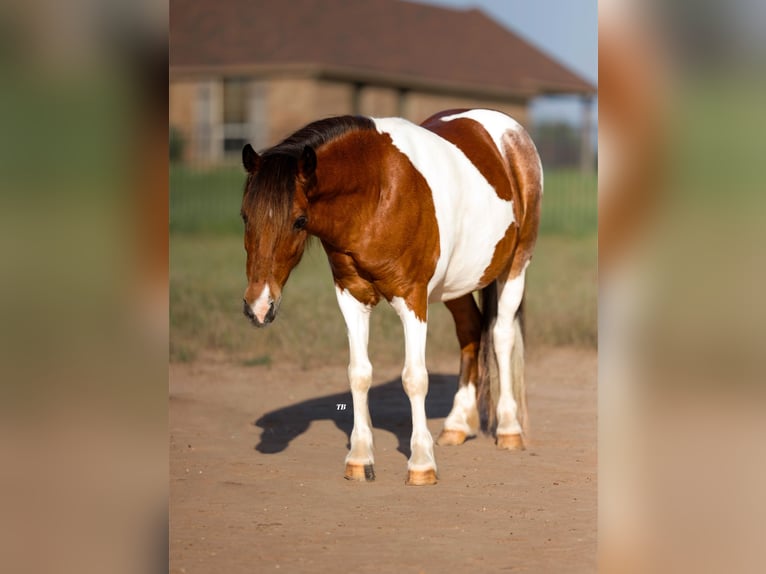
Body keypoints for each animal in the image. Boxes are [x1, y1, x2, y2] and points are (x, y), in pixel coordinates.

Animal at [243, 109, 544, 486]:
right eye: (245, 216)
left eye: (299, 220)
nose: (258, 306)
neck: (377, 191)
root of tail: (511, 133)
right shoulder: (351, 296)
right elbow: (358, 373)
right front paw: (360, 459)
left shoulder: (411, 298)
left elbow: (414, 378)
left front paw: (421, 464)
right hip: (454, 284)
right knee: (471, 332)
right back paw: (457, 424)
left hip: (515, 267)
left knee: (501, 336)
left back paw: (508, 429)